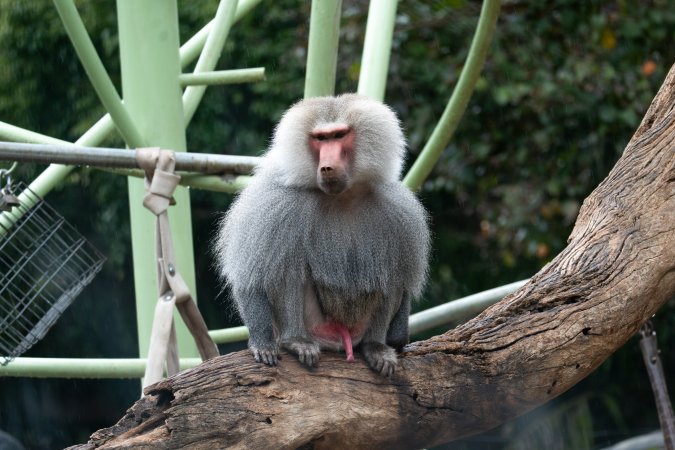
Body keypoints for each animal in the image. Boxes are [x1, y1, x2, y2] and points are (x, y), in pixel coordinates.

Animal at [215, 94, 430, 376]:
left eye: (339, 135)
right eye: (320, 138)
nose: (327, 167)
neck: (342, 196)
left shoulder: (400, 213)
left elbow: (401, 281)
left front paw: (396, 339)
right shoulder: (276, 205)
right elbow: (253, 276)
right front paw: (262, 343)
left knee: (390, 275)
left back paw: (375, 346)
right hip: (316, 328)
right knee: (287, 267)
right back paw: (296, 341)